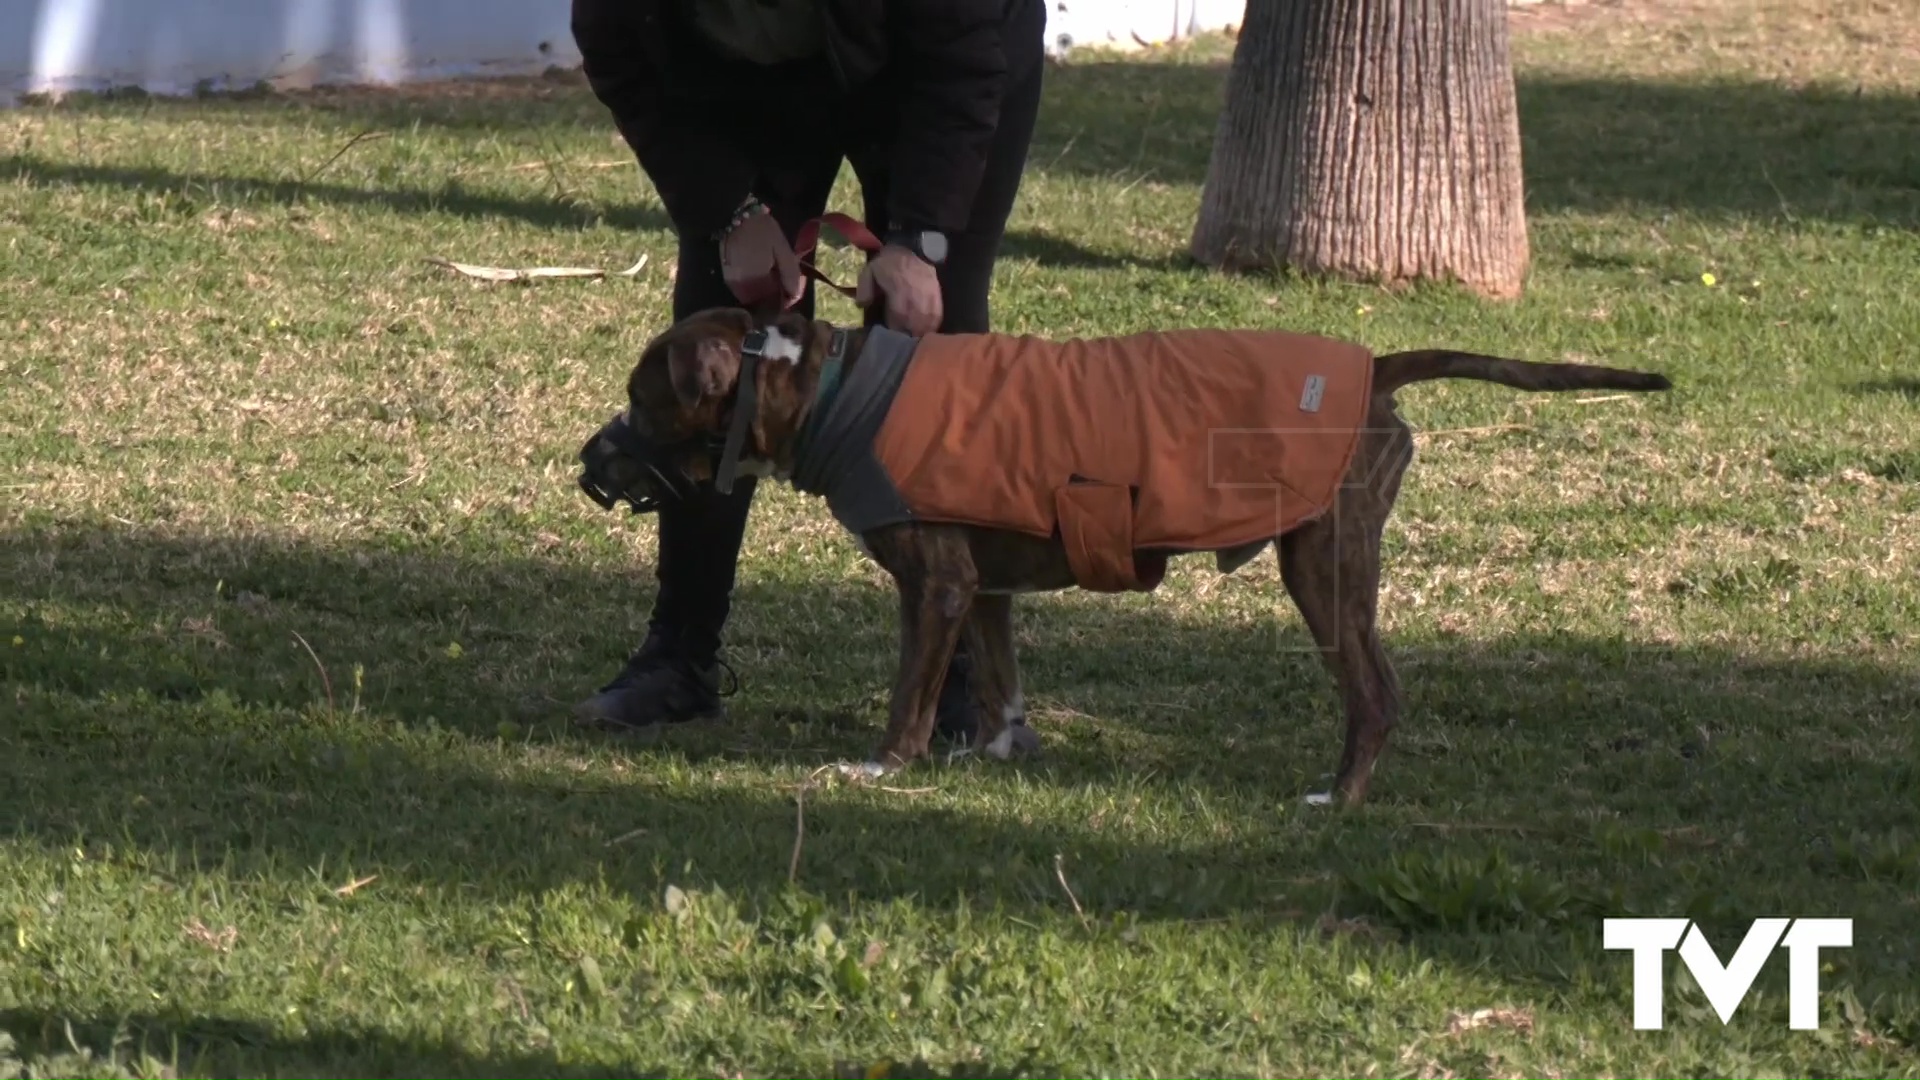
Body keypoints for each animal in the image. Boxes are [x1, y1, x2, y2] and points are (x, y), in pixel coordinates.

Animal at [579, 303, 1666, 799]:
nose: (590, 458)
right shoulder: (984, 586)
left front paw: (885, 766)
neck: (832, 394)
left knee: (1375, 690)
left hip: (1323, 564)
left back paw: (1340, 794)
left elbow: (909, 695)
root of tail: (1375, 369)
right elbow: (1001, 676)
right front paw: (998, 748)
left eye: (642, 397)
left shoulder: (936, 586)